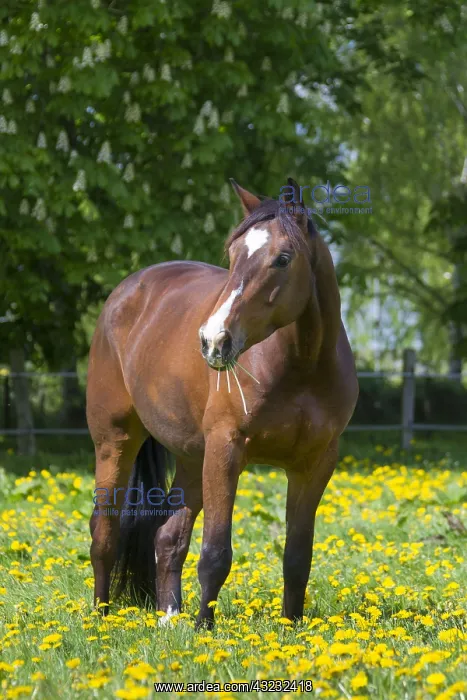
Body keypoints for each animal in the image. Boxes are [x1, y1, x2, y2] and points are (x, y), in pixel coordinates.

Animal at [87, 178, 358, 629]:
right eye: (232, 256)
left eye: (283, 258)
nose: (213, 340)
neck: (301, 365)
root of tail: (126, 293)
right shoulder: (226, 449)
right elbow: (215, 552)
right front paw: (205, 628)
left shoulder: (315, 464)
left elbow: (297, 557)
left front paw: (291, 626)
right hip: (116, 442)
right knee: (104, 532)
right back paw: (100, 618)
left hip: (193, 457)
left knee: (168, 537)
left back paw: (169, 618)